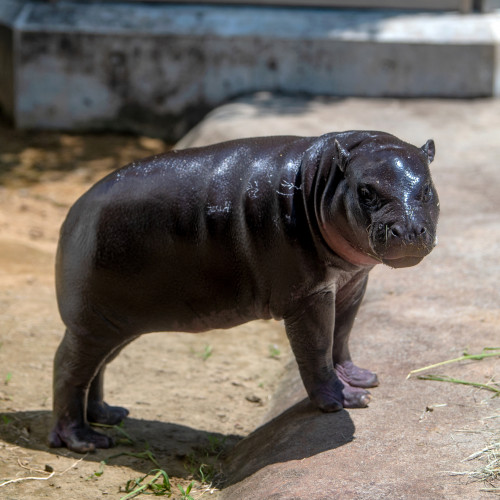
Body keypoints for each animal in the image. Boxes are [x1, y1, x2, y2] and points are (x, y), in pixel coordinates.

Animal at [48, 131, 440, 452]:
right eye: (366, 191)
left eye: (427, 189)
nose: (408, 230)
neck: (321, 180)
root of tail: (73, 212)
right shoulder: (309, 297)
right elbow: (316, 349)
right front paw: (343, 401)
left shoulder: (352, 284)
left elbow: (341, 336)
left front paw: (361, 379)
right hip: (91, 324)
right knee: (68, 367)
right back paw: (85, 441)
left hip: (117, 322)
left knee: (97, 367)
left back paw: (109, 415)